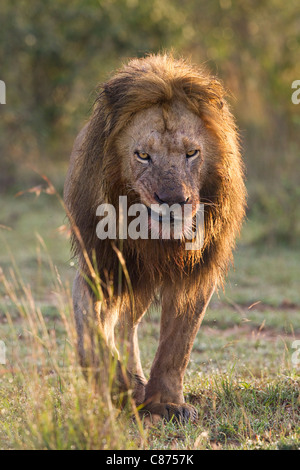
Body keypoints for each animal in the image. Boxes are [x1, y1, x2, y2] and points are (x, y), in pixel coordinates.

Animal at [63, 53, 246, 424]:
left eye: (191, 153)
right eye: (143, 155)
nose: (173, 200)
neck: (153, 240)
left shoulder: (196, 273)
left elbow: (178, 345)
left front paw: (166, 402)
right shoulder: (98, 266)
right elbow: (91, 332)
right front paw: (119, 385)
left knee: (128, 323)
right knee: (118, 324)